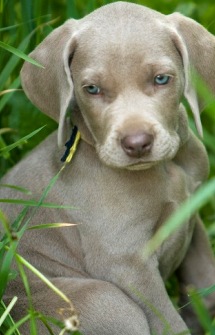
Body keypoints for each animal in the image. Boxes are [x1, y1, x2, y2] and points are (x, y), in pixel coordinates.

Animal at [1, 1, 215, 334]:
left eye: (161, 79)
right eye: (92, 89)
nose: (137, 143)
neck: (166, 168)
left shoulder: (191, 211)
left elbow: (205, 281)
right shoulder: (125, 262)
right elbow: (168, 321)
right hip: (105, 299)